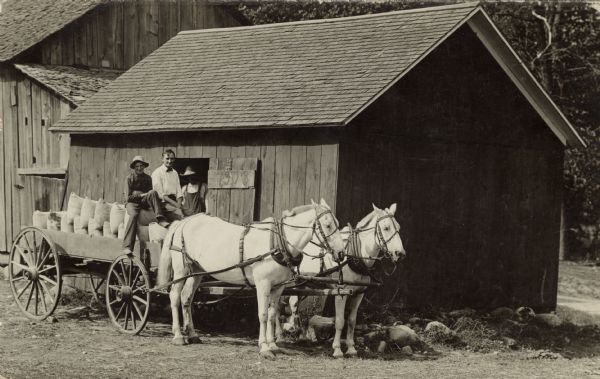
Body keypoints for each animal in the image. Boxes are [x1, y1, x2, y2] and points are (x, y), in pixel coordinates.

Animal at [157, 200, 344, 358]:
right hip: (181, 270)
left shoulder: (278, 287)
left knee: (186, 298)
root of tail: (184, 222)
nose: (341, 253)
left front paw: (273, 345)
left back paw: (193, 335)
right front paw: (264, 347)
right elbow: (262, 314)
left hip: (197, 272)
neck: (278, 243)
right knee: (175, 296)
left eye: (337, 224)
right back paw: (178, 336)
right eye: (328, 225)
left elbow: (272, 314)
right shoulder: (263, 284)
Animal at [274, 203, 406, 358]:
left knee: (293, 304)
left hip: (303, 285)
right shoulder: (340, 293)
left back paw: (301, 336)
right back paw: (280, 336)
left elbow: (352, 321)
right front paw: (337, 349)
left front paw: (351, 348)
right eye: (386, 228)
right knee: (278, 306)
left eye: (398, 227)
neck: (354, 257)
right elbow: (340, 321)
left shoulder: (359, 294)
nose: (400, 253)